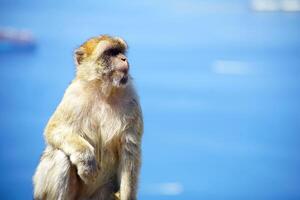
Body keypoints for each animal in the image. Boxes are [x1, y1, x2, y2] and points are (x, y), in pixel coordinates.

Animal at [33, 34, 144, 200]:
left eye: (121, 51)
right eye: (111, 52)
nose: (124, 59)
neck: (103, 91)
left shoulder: (131, 100)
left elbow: (129, 150)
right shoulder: (73, 95)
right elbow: (55, 129)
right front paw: (87, 161)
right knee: (60, 156)